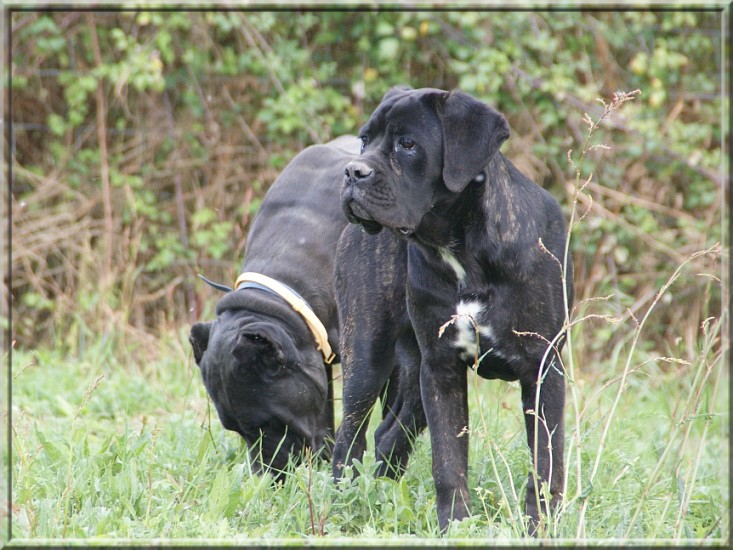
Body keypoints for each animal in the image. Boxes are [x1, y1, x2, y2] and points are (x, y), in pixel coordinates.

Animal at [334, 88, 572, 536]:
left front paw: (538, 526)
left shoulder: (543, 369)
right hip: (369, 356)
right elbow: (448, 459)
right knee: (348, 438)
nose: (353, 171)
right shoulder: (442, 368)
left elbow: (546, 461)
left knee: (389, 435)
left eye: (408, 144)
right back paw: (340, 500)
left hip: (412, 374)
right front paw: (456, 526)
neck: (461, 249)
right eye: (364, 140)